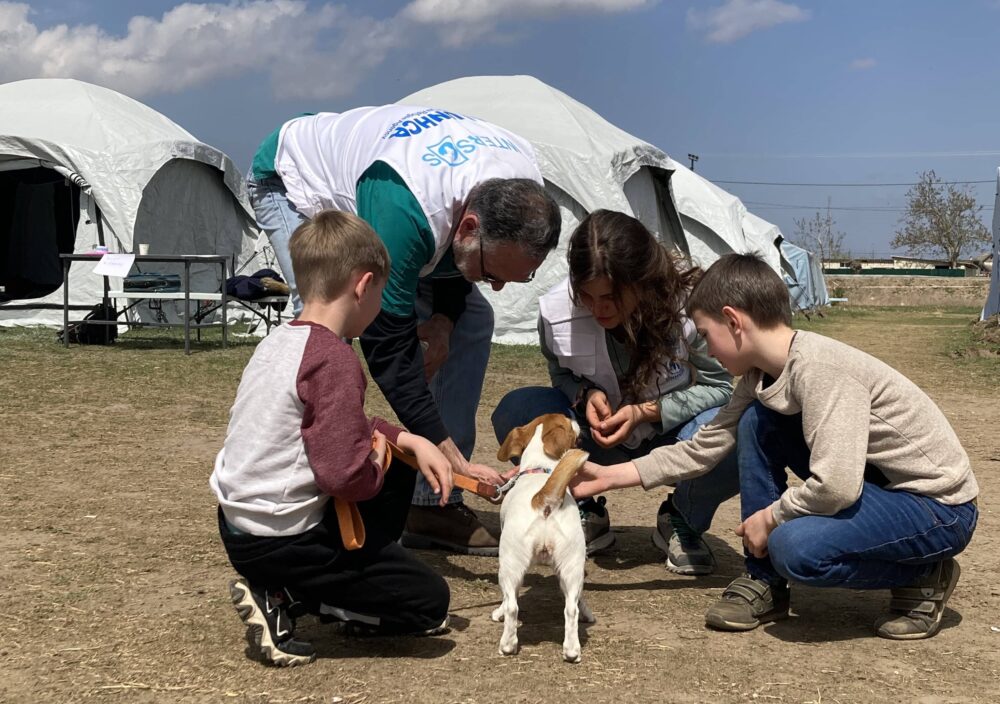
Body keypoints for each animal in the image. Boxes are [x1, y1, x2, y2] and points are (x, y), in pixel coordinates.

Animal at [492, 413, 595, 663]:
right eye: (567, 420)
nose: (575, 417)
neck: (541, 469)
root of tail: (544, 499)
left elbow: (507, 600)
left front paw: (498, 613)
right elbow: (580, 600)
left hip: (508, 565)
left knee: (512, 606)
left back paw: (507, 645)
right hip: (572, 565)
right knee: (571, 609)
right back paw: (572, 650)